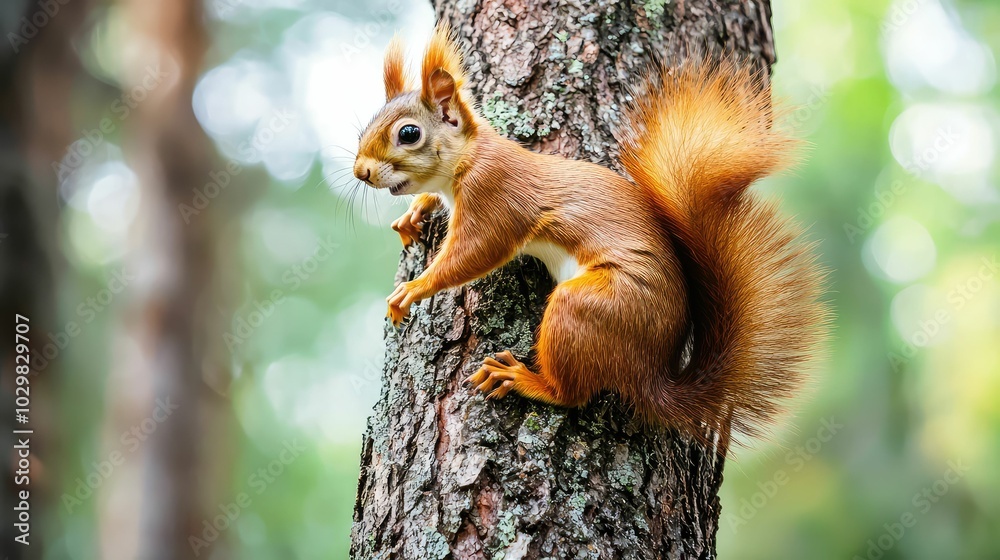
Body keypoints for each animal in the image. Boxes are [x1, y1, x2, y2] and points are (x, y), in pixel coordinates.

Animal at [352, 26, 829, 448]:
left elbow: (477, 252)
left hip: (587, 309)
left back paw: (524, 379)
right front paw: (414, 212)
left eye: (408, 133)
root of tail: (651, 374)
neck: (470, 155)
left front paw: (414, 288)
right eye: (365, 128)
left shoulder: (496, 195)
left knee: (572, 395)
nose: (360, 172)